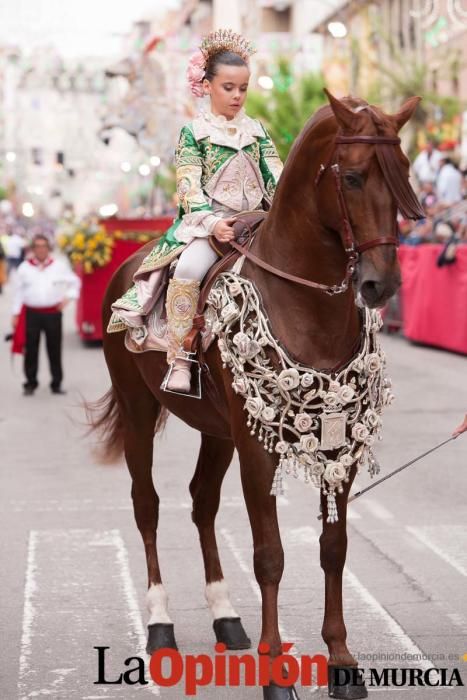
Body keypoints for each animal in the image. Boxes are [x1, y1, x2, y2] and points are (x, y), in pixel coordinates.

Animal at [89, 90, 422, 696]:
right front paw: (275, 673)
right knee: (147, 506)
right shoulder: (257, 448)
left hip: (217, 430)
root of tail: (130, 264)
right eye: (354, 177)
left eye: (404, 171)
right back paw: (160, 625)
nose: (380, 284)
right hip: (138, 409)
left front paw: (342, 662)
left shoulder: (337, 444)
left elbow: (334, 549)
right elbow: (270, 555)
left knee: (201, 501)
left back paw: (225, 616)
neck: (305, 303)